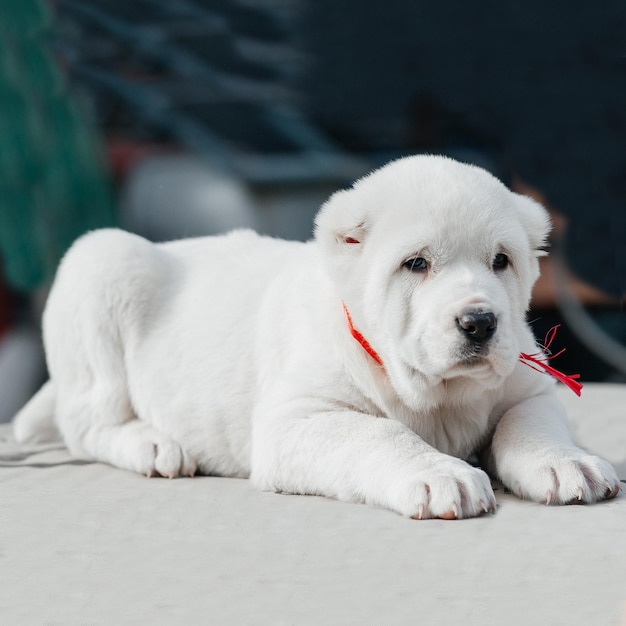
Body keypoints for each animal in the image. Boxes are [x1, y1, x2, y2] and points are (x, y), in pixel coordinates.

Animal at [14, 156, 620, 516]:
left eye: (501, 261)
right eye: (416, 264)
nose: (480, 322)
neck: (436, 394)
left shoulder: (529, 385)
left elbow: (530, 421)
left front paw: (564, 462)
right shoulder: (294, 420)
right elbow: (378, 432)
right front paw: (440, 473)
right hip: (101, 262)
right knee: (87, 423)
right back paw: (153, 443)